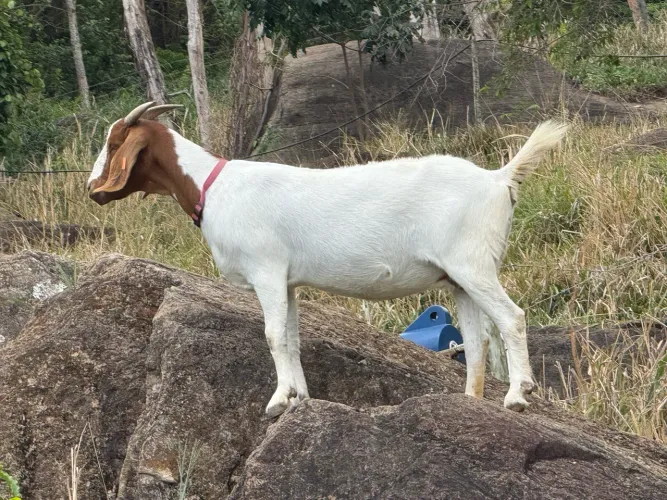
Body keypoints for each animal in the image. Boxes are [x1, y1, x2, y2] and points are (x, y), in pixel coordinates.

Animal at [88, 102, 568, 417]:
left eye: (114, 142)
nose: (93, 189)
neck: (212, 185)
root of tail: (499, 178)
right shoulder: (287, 281)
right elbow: (292, 337)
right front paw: (300, 397)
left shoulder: (266, 270)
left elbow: (272, 335)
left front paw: (277, 401)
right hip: (458, 278)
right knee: (477, 337)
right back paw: (470, 402)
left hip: (474, 264)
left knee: (511, 317)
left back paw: (517, 396)